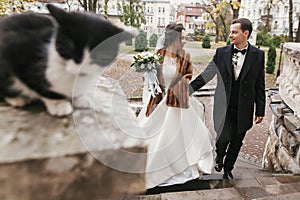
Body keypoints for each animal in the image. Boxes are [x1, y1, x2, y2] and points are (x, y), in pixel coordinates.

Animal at [0, 3, 135, 116]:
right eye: (70, 47)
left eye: (101, 54)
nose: (81, 69)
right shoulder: (17, 49)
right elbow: (38, 85)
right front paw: (59, 104)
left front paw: (79, 98)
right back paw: (17, 99)